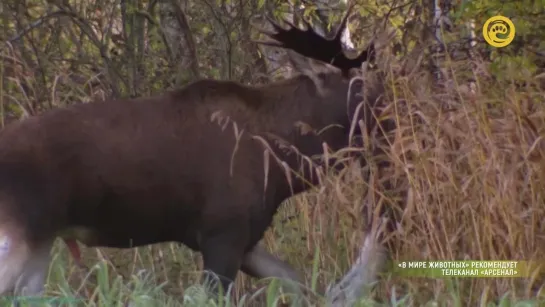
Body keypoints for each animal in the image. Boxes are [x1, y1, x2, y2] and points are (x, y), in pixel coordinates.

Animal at [0, 7, 386, 300]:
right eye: (358, 83)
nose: (392, 109)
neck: (282, 167)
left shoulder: (243, 236)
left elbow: (301, 283)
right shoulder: (222, 230)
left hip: (43, 238)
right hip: (21, 227)